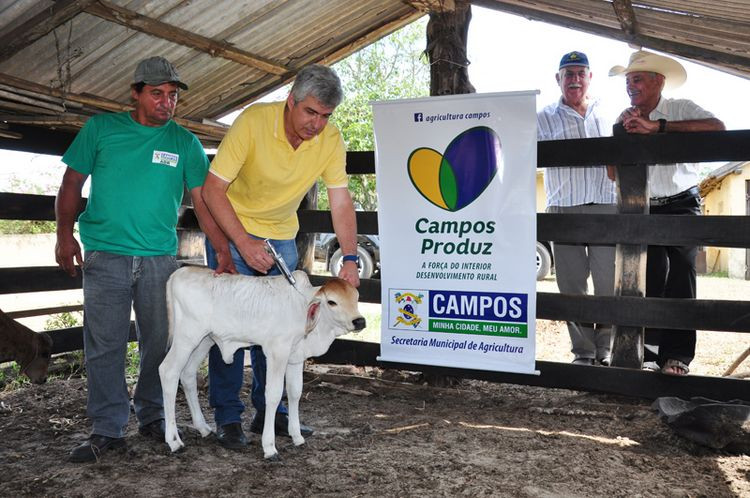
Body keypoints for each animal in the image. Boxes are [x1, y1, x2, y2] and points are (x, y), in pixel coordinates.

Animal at [159, 268, 368, 460]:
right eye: (332, 302)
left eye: (356, 297)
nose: (359, 321)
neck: (300, 305)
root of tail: (180, 272)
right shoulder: (277, 352)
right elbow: (274, 395)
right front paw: (269, 447)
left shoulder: (295, 357)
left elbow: (295, 392)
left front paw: (297, 436)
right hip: (187, 337)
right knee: (168, 371)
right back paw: (174, 440)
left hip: (204, 341)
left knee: (187, 374)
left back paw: (202, 427)